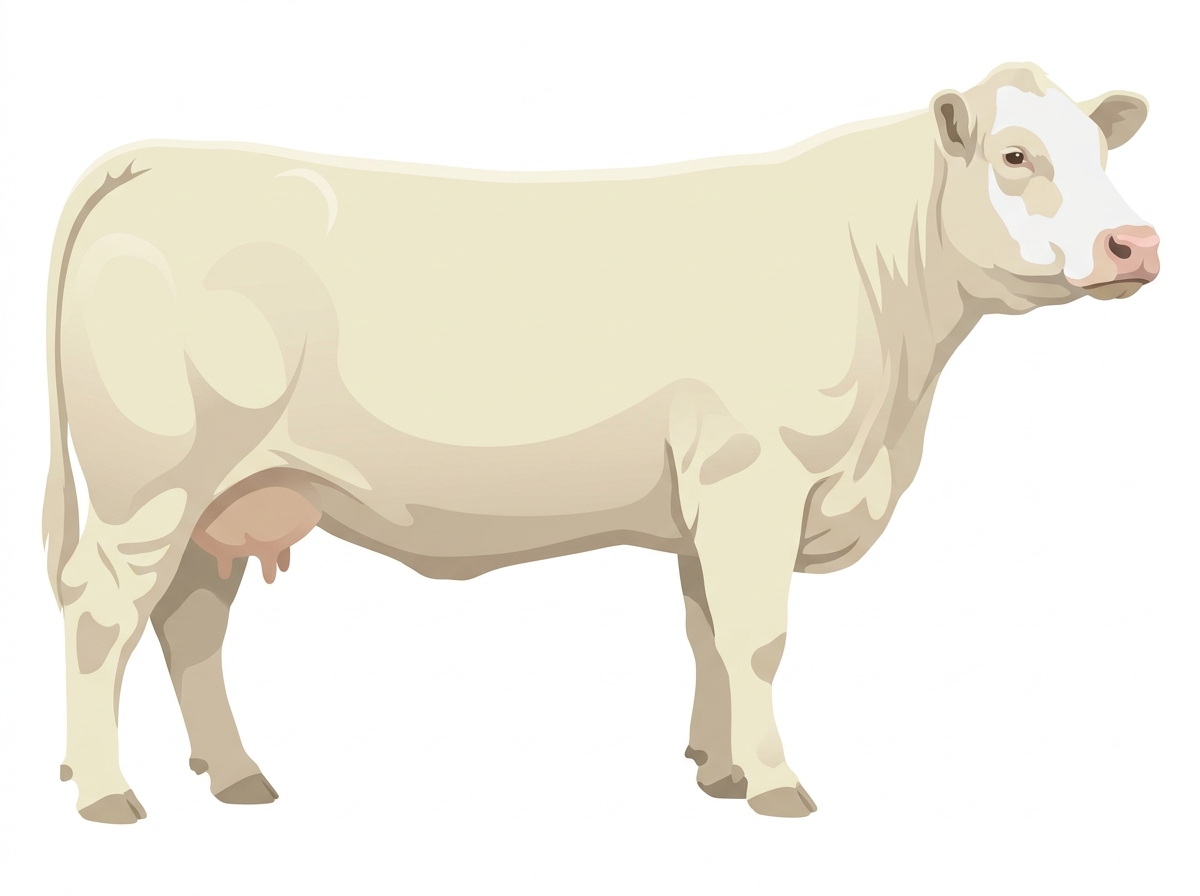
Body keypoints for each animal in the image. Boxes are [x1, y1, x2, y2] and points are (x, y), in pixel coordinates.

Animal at [43, 62, 1158, 823]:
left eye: (1105, 154)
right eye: (1016, 156)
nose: (1135, 243)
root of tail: (159, 155)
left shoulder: (708, 500)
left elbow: (708, 632)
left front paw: (719, 769)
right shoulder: (755, 480)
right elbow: (759, 637)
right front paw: (777, 783)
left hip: (227, 495)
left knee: (191, 621)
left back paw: (236, 775)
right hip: (153, 483)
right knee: (104, 611)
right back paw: (106, 793)